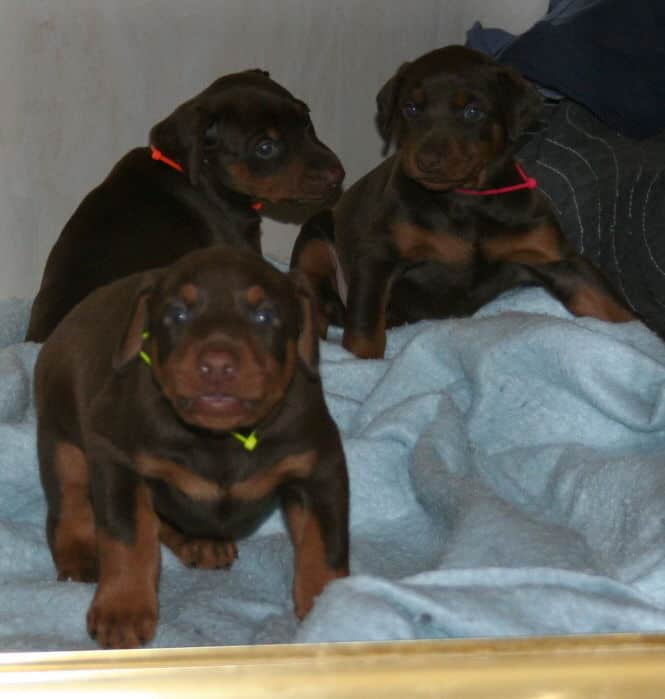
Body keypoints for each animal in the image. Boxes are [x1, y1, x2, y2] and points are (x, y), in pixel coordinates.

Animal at [34, 246, 350, 652]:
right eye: (177, 314)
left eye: (265, 315)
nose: (216, 365)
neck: (220, 438)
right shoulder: (116, 459)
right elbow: (127, 537)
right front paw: (123, 608)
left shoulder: (320, 465)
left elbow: (325, 544)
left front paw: (332, 607)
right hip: (61, 439)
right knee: (70, 501)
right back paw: (79, 553)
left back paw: (201, 542)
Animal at [290, 46, 632, 358]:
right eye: (411, 108)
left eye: (472, 112)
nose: (427, 160)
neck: (467, 202)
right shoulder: (379, 255)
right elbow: (364, 327)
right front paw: (364, 365)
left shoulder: (556, 258)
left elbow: (612, 307)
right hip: (315, 236)